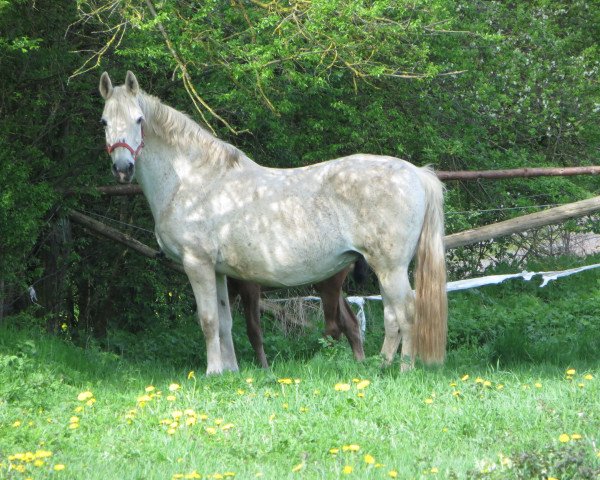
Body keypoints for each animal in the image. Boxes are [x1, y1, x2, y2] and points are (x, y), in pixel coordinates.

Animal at [99, 71, 446, 374]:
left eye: (139, 119)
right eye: (104, 121)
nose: (122, 168)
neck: (192, 179)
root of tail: (416, 173)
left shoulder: (197, 264)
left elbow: (208, 320)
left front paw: (212, 372)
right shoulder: (218, 271)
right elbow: (224, 322)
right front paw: (230, 371)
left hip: (390, 268)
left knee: (406, 314)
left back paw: (403, 370)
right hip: (385, 270)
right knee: (391, 317)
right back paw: (381, 367)